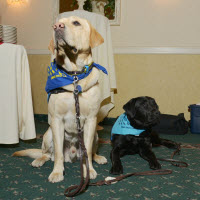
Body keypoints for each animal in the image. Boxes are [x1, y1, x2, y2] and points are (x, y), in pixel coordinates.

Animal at [12, 16, 108, 183]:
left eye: (76, 23)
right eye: (56, 23)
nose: (57, 26)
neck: (74, 75)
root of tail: (73, 155)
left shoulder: (91, 120)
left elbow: (88, 151)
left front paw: (89, 169)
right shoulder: (57, 120)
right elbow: (57, 153)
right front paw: (57, 172)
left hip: (95, 133)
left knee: (91, 151)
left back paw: (98, 157)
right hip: (48, 134)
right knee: (47, 154)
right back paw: (39, 160)